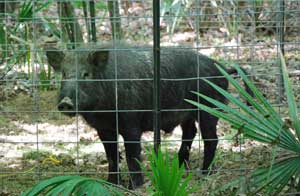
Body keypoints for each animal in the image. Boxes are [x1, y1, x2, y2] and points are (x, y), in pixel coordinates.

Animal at [46, 43, 239, 188]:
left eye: (86, 74)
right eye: (64, 73)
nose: (65, 102)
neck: (104, 111)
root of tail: (222, 68)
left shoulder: (131, 122)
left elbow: (132, 155)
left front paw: (135, 187)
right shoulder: (104, 129)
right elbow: (111, 156)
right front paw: (111, 184)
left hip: (209, 108)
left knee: (211, 139)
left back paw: (204, 173)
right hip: (187, 115)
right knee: (190, 133)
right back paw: (178, 168)